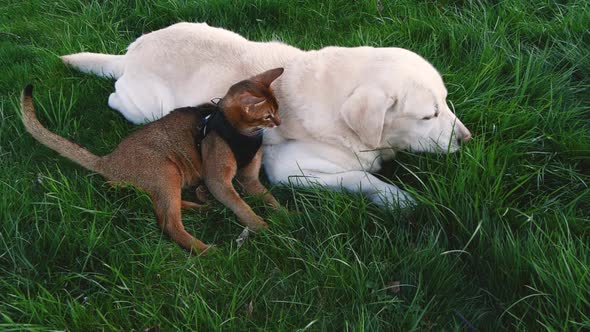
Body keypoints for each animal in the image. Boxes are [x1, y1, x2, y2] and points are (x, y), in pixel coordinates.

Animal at [24, 68, 288, 254]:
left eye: (278, 109)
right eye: (268, 115)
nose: (279, 122)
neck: (241, 133)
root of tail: (108, 161)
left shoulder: (248, 178)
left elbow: (269, 198)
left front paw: (287, 216)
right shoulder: (218, 179)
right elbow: (240, 205)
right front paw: (262, 226)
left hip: (169, 179)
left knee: (166, 205)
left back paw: (203, 202)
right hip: (166, 170)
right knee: (169, 222)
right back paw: (206, 249)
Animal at [62, 22, 474, 208]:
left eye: (445, 102)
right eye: (428, 116)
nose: (467, 139)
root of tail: (130, 52)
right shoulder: (289, 167)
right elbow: (360, 177)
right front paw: (398, 199)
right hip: (145, 105)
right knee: (116, 97)